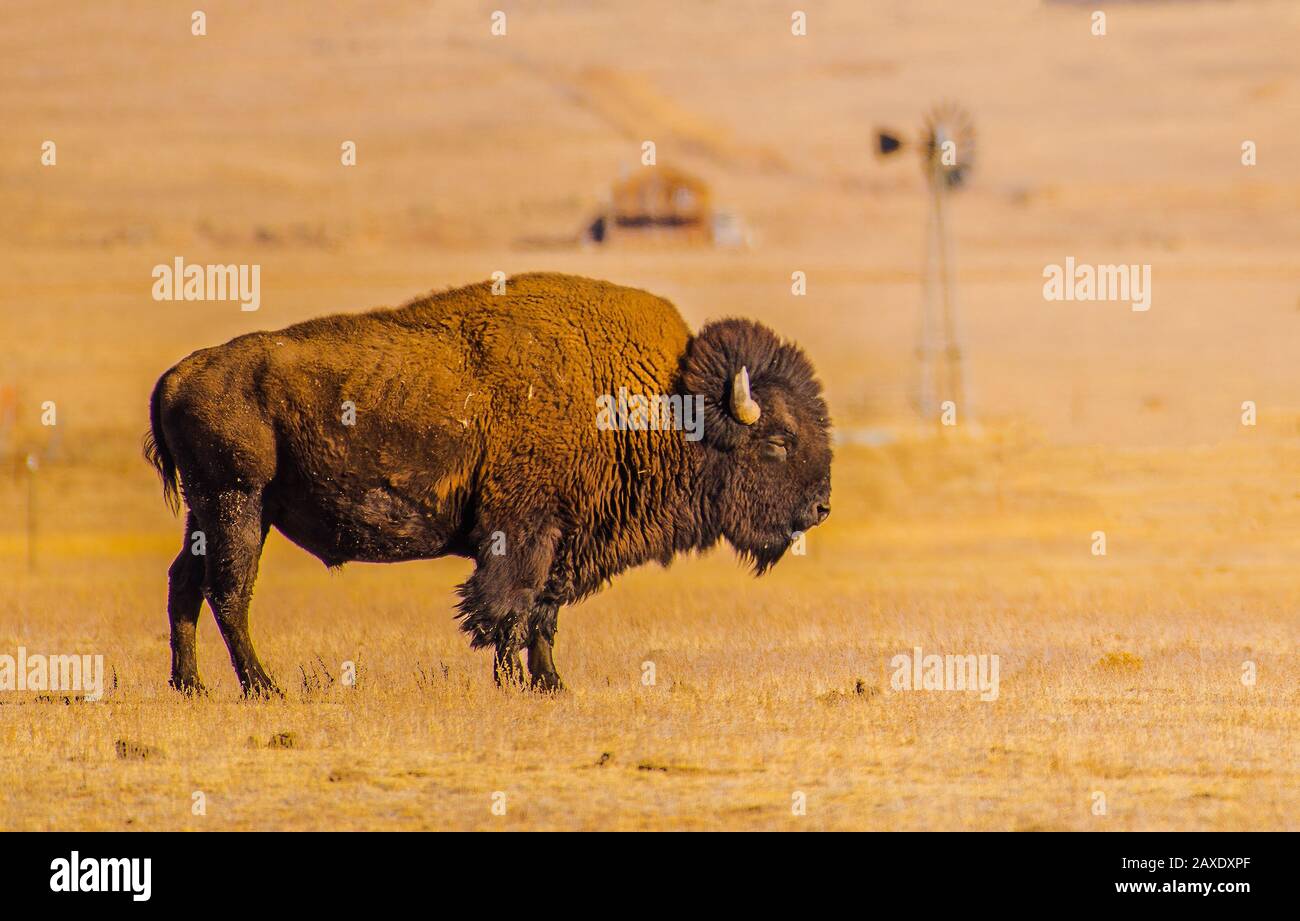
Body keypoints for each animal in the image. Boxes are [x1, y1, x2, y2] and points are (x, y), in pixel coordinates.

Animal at [145, 273, 832, 695]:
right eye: (777, 442)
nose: (821, 506)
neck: (659, 402)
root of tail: (176, 377)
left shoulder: (565, 540)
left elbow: (544, 615)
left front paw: (552, 686)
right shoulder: (523, 533)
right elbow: (510, 610)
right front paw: (517, 684)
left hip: (212, 514)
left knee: (185, 582)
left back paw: (192, 686)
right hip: (238, 503)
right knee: (229, 592)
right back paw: (265, 689)